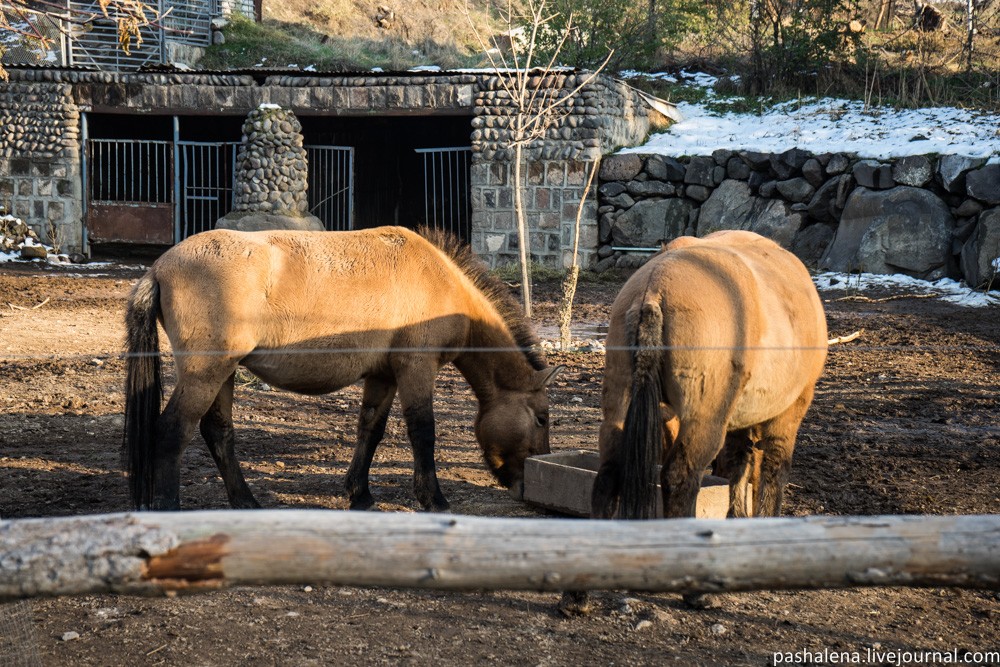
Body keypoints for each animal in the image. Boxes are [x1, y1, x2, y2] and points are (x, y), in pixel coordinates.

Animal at [123, 224, 564, 512]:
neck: (441, 281)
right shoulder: (415, 369)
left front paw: (360, 494)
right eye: (542, 418)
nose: (525, 486)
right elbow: (423, 433)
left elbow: (370, 430)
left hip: (224, 374)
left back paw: (246, 502)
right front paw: (434, 499)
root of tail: (159, 267)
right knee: (172, 432)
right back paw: (169, 509)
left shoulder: (383, 376)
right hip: (206, 374)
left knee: (218, 433)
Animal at [588, 232, 824, 524]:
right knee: (679, 477)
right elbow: (773, 469)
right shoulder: (790, 411)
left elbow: (739, 464)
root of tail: (654, 287)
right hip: (703, 421)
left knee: (609, 475)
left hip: (620, 404)